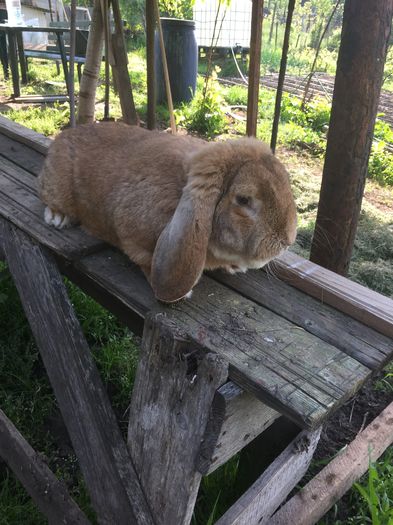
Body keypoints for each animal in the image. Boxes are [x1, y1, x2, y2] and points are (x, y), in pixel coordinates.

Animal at [39, 123, 298, 300]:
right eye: (243, 200)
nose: (287, 241)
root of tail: (62, 136)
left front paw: (234, 267)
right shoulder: (135, 240)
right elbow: (146, 261)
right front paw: (184, 293)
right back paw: (58, 218)